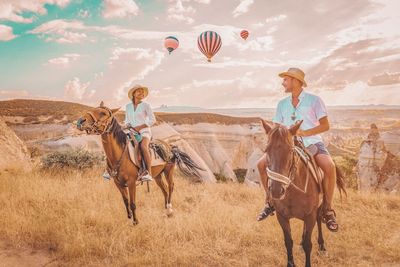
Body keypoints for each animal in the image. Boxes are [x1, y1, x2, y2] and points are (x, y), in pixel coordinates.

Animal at [77, 102, 205, 226]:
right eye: (93, 109)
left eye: (103, 113)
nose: (80, 121)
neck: (119, 154)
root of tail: (170, 146)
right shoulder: (118, 183)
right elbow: (126, 201)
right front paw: (129, 218)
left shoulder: (131, 182)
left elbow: (133, 203)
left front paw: (135, 222)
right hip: (157, 176)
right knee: (164, 188)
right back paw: (165, 208)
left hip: (168, 171)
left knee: (170, 186)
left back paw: (169, 209)